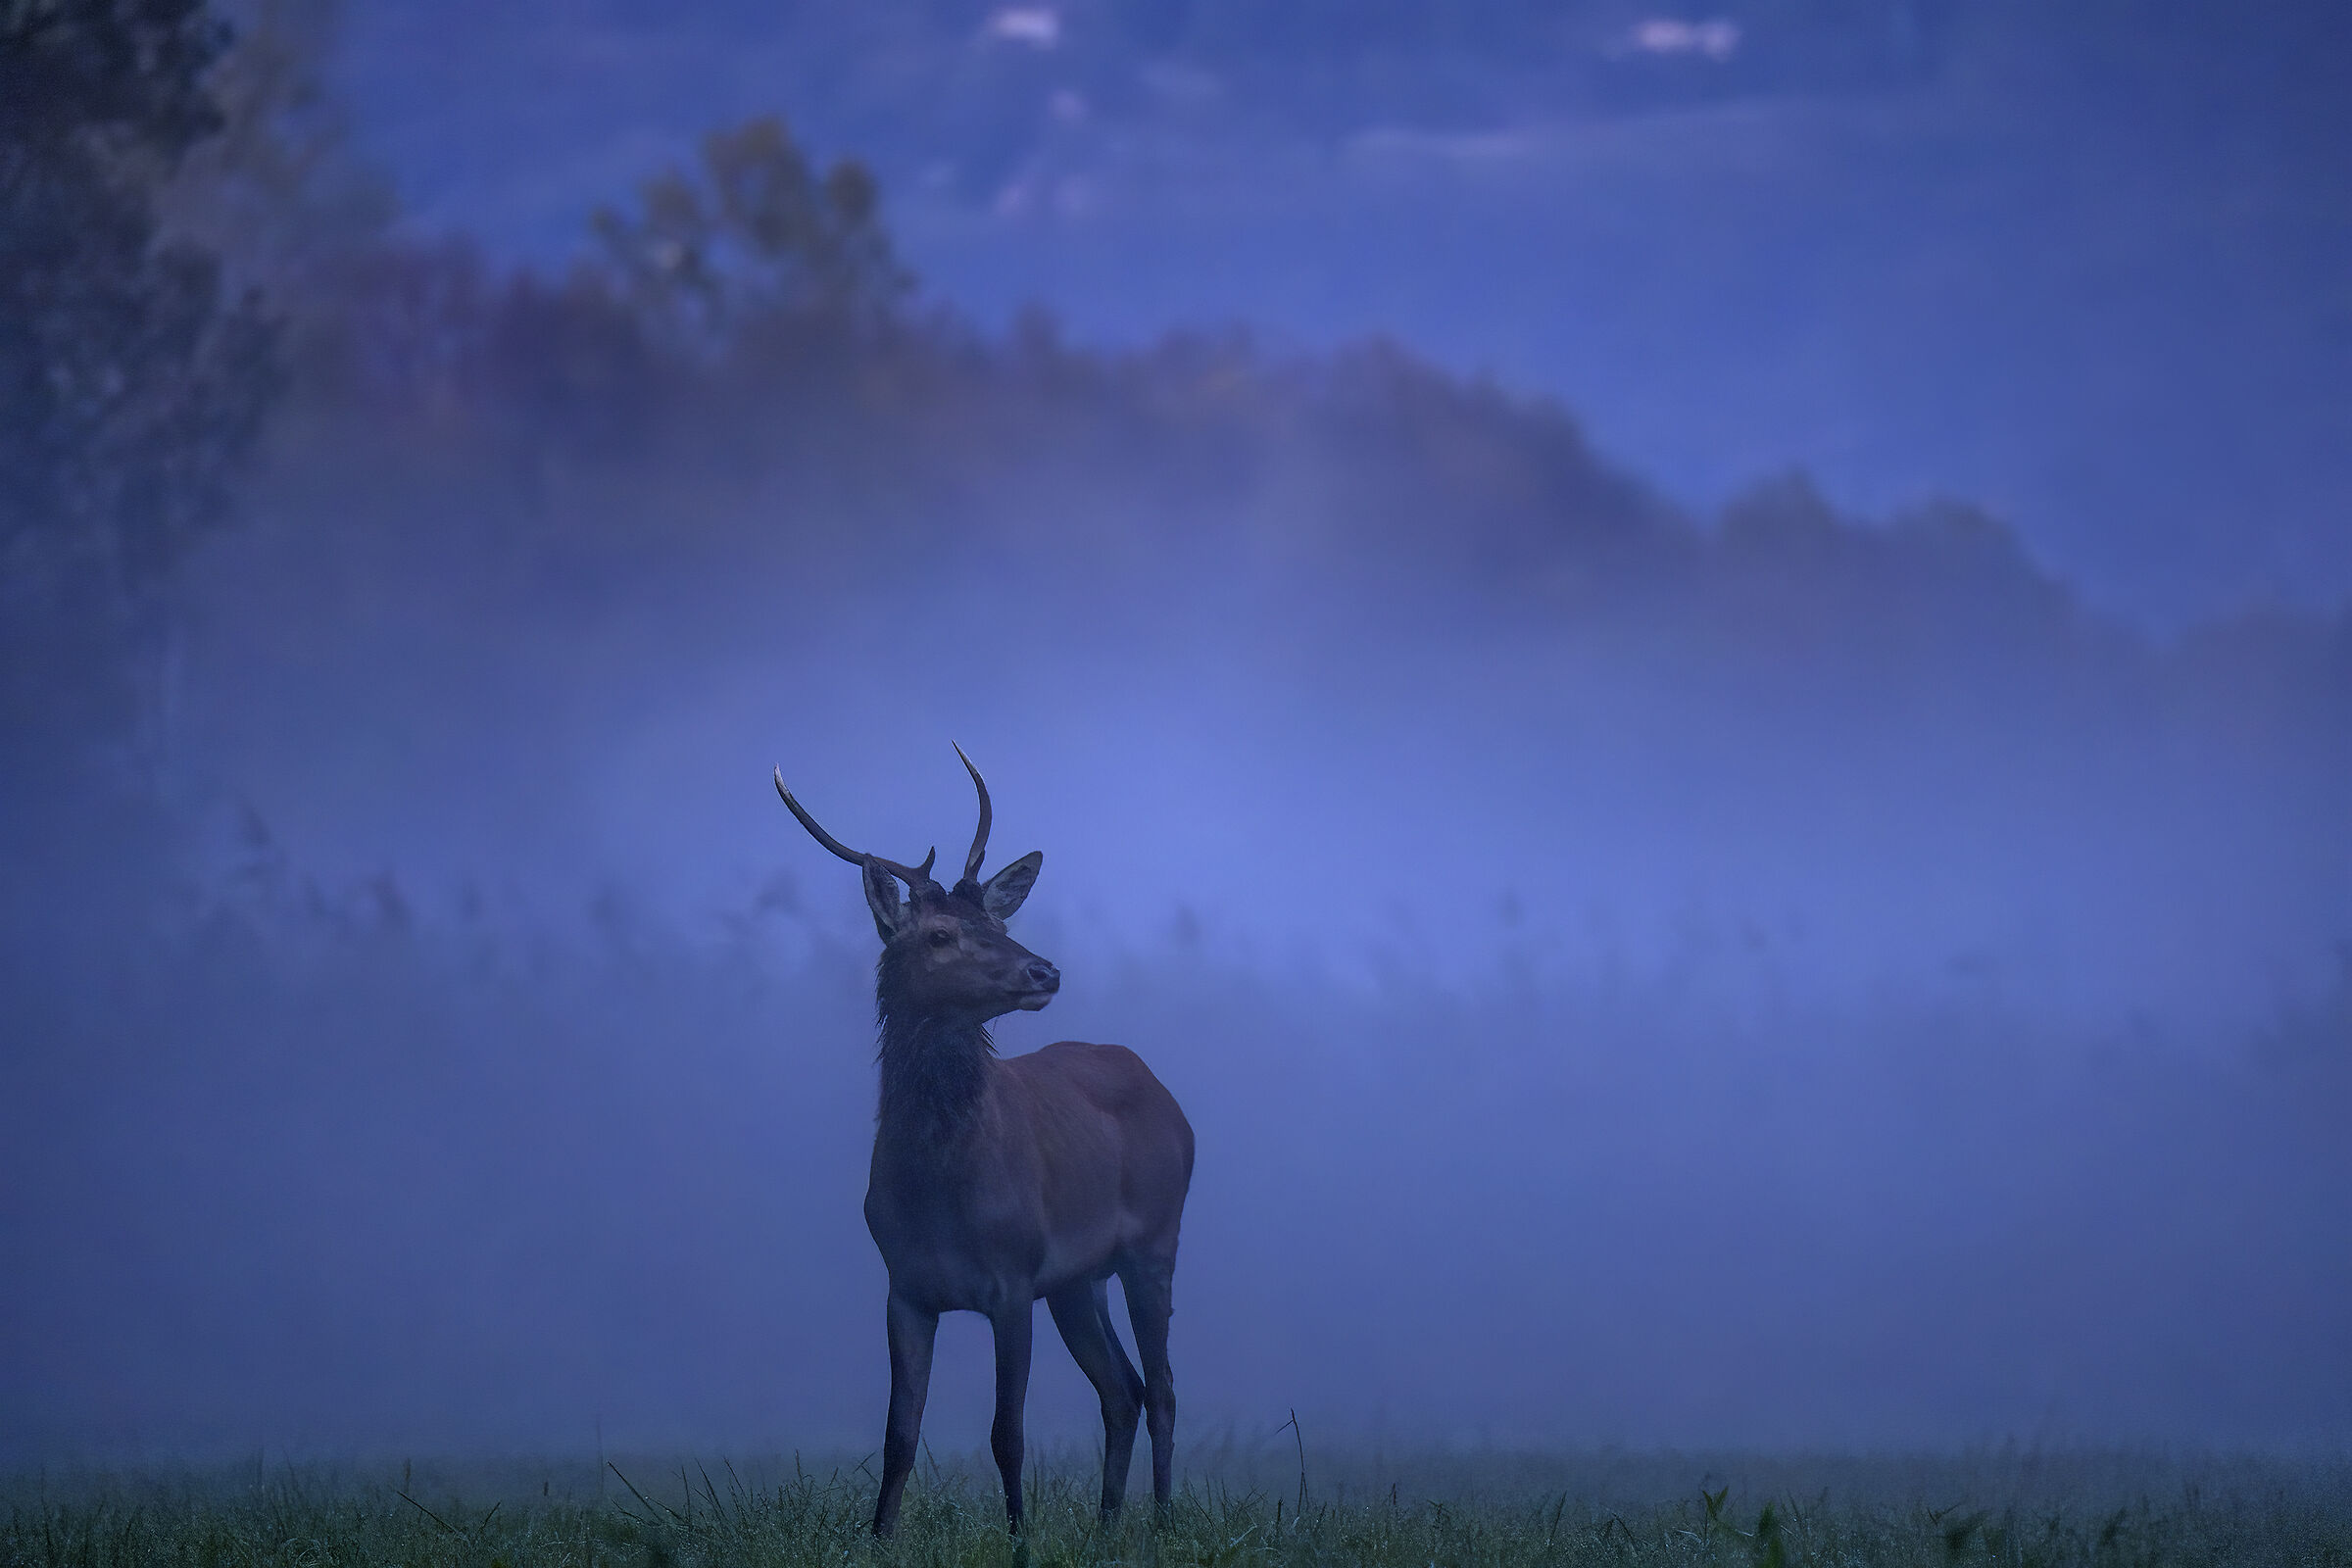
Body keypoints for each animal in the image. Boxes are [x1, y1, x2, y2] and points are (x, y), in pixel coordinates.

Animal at [774, 747, 1195, 1537]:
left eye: (996, 923)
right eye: (940, 935)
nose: (1044, 969)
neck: (940, 1193)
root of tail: (1168, 1097)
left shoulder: (1013, 1279)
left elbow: (1008, 1433)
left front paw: (1020, 1538)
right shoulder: (904, 1287)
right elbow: (899, 1432)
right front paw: (878, 1538)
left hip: (1155, 1241)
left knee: (1161, 1388)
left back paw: (1159, 1525)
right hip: (1078, 1280)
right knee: (1121, 1389)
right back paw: (1106, 1527)